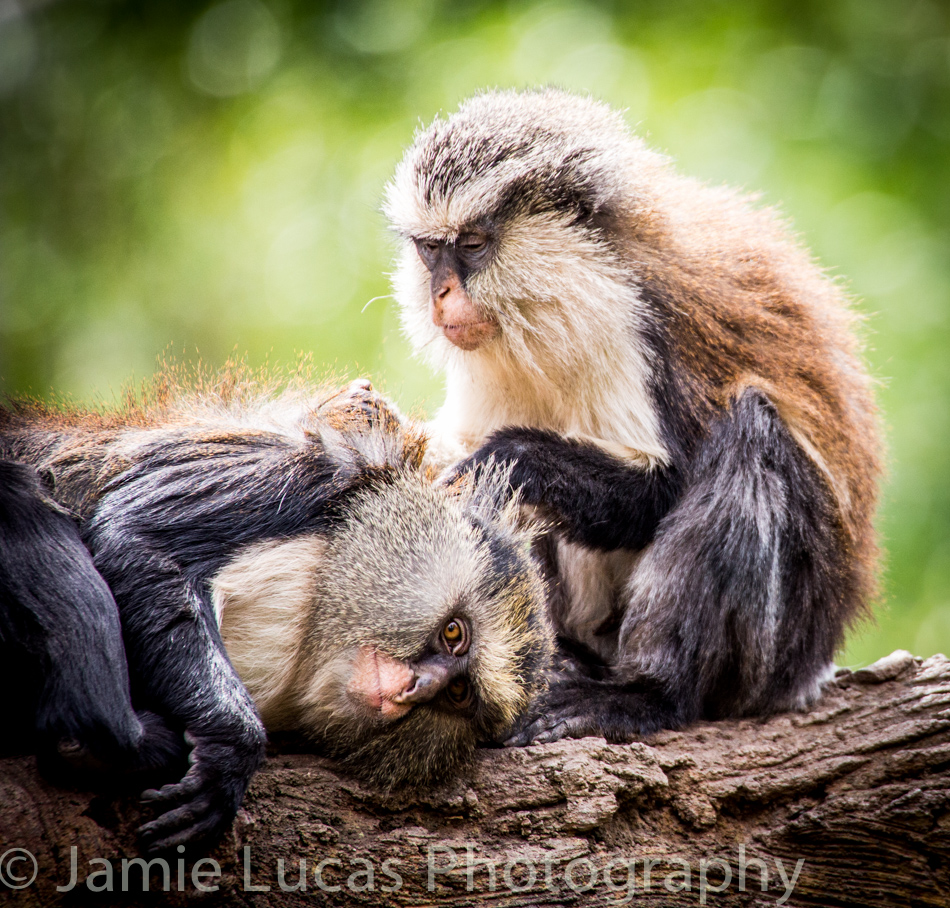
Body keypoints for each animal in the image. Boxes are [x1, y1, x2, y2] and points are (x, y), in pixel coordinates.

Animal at [0, 374, 552, 850]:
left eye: (458, 693)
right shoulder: (308, 471)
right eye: (454, 632)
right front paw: (231, 744)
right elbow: (136, 535)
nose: (418, 688)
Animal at [384, 88, 882, 746]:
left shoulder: (632, 324)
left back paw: (649, 693)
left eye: (471, 245)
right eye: (429, 249)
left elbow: (659, 491)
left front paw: (515, 457)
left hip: (779, 649)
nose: (442, 295)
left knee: (753, 437)